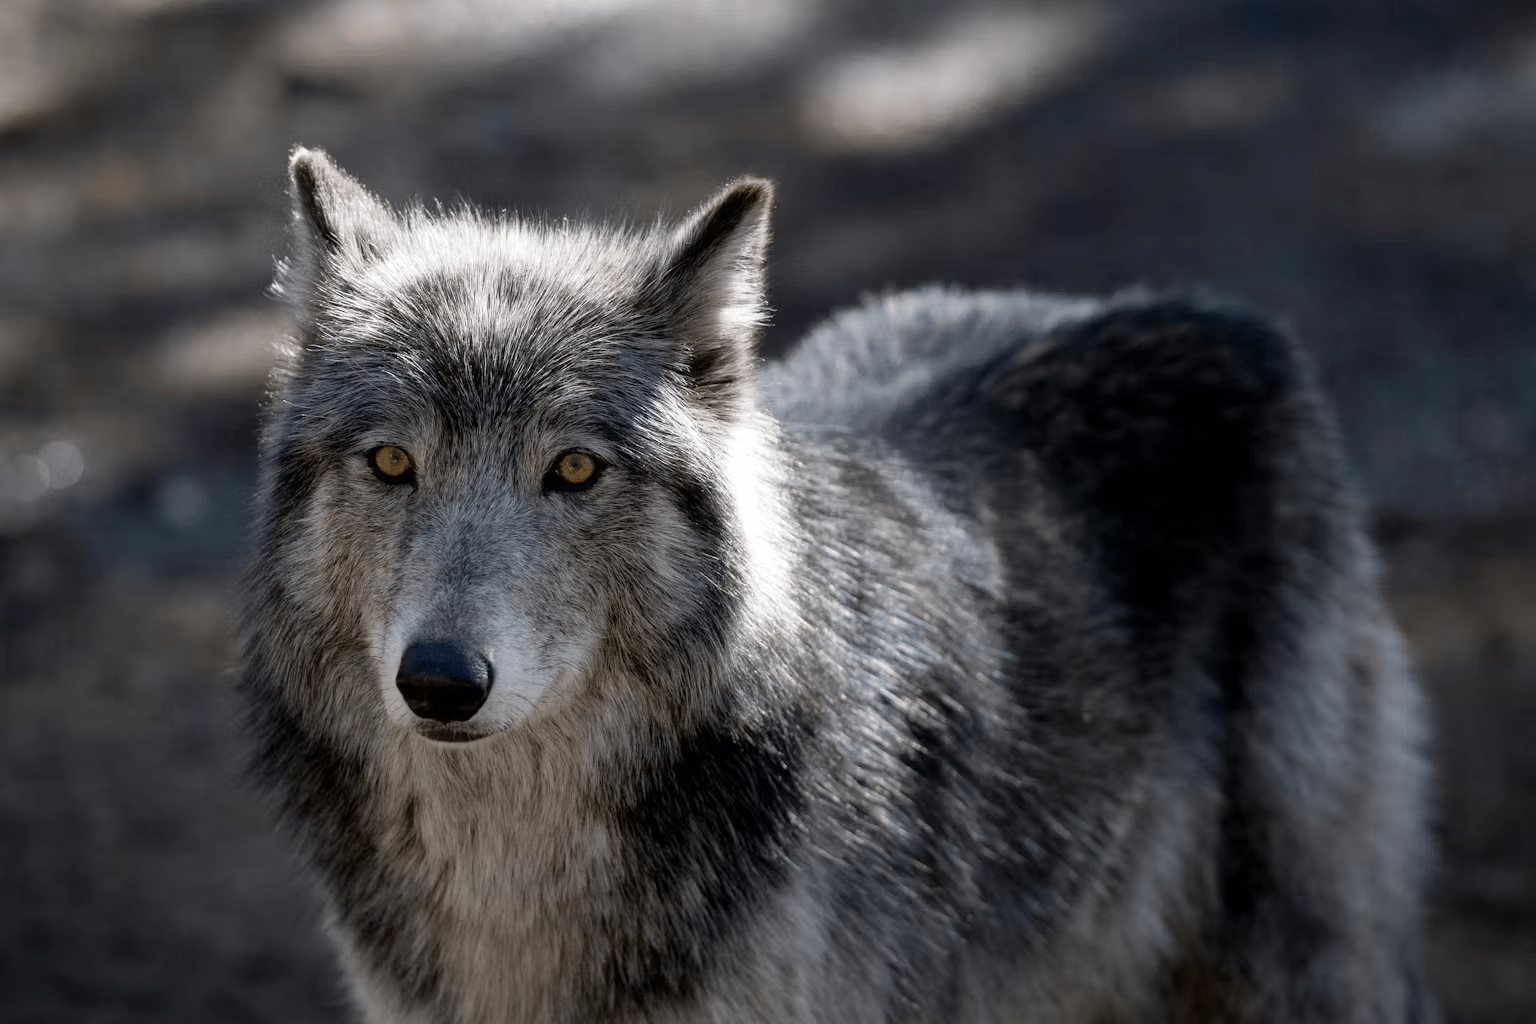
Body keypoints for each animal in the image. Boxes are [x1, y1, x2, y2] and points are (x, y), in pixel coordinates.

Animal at [240, 147, 1435, 1023]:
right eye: (393, 462)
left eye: (573, 469)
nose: (441, 681)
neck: (515, 876)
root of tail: (1212, 308)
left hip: (1298, 954)